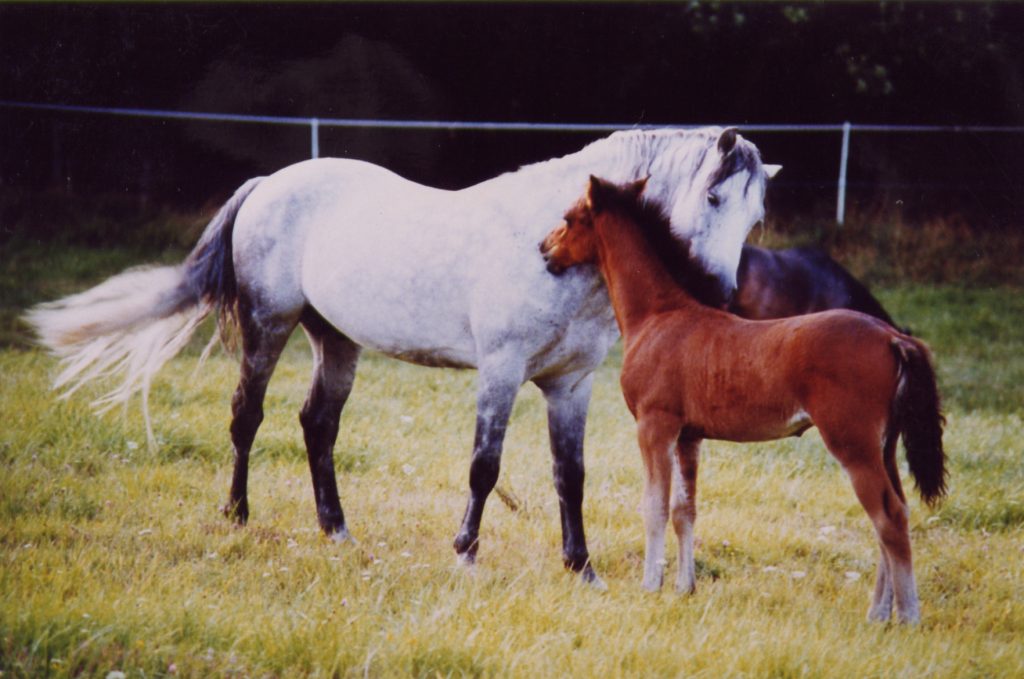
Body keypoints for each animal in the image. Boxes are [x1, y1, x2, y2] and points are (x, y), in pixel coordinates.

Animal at [26, 127, 780, 586]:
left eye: (755, 218)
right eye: (713, 194)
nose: (719, 293)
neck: (552, 250)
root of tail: (269, 181)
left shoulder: (570, 384)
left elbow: (572, 476)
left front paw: (582, 568)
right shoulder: (501, 371)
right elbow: (484, 467)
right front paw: (466, 555)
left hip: (336, 340)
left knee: (317, 426)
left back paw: (336, 531)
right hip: (269, 325)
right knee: (247, 416)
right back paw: (236, 516)